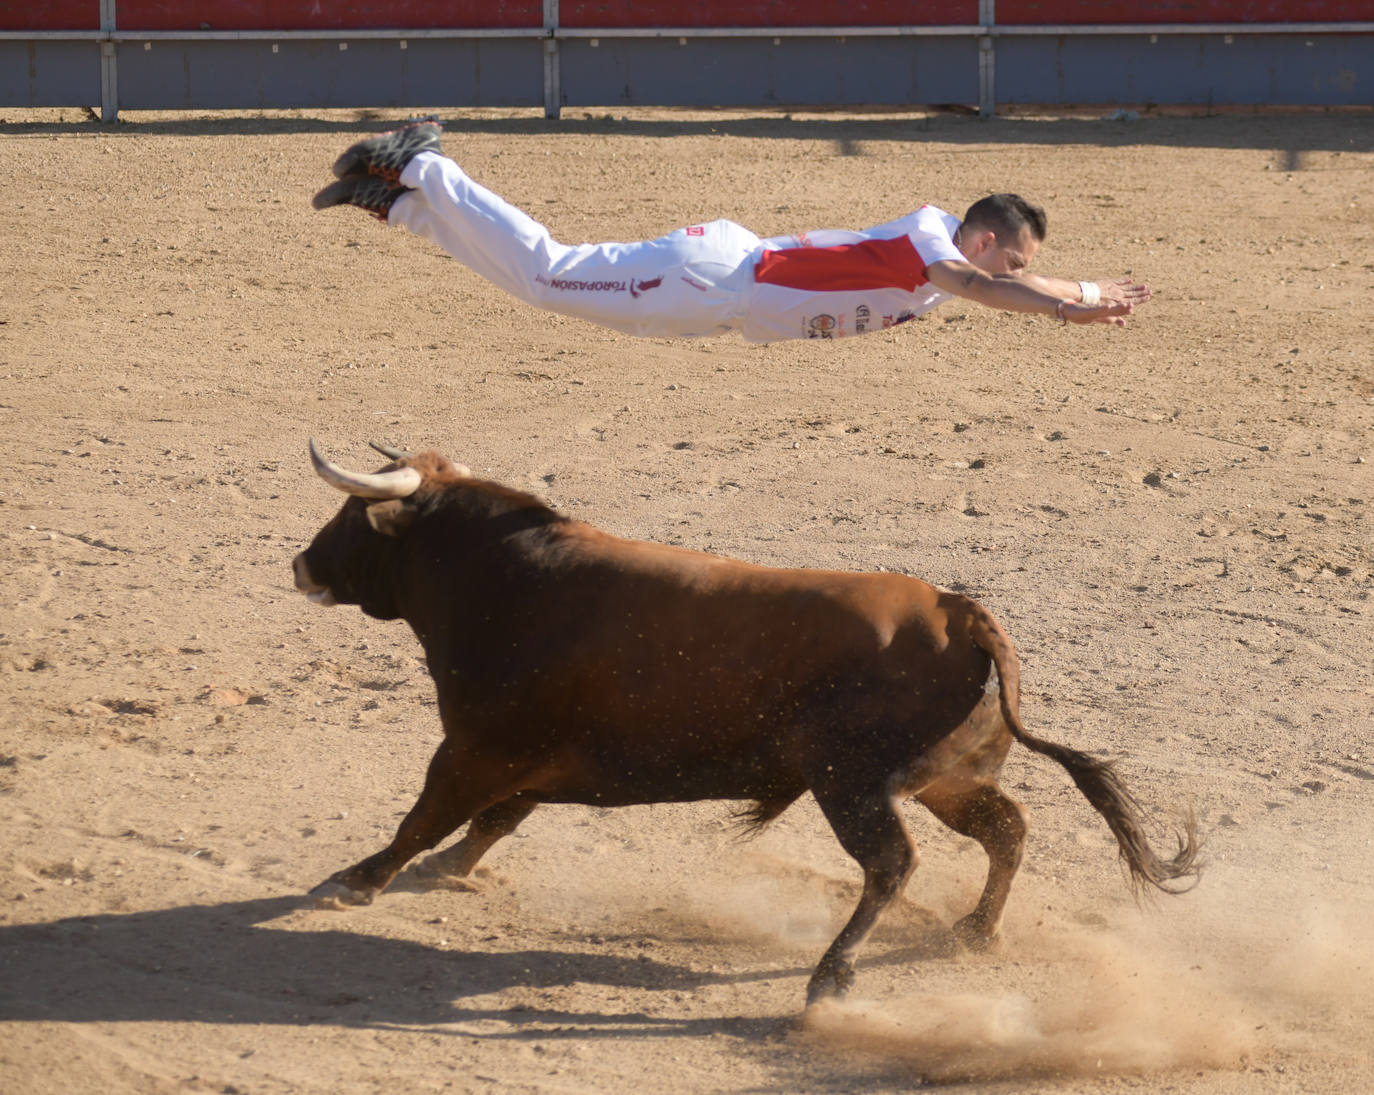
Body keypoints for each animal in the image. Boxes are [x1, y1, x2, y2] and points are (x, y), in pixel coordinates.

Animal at [295, 439, 1198, 1005]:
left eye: (348, 516)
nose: (302, 563)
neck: (506, 579)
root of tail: (960, 609)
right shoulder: (524, 760)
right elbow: (491, 821)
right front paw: (445, 871)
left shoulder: (475, 746)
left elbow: (426, 815)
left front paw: (357, 878)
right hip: (947, 779)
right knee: (1007, 827)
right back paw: (974, 931)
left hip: (851, 785)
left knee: (892, 863)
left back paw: (831, 975)